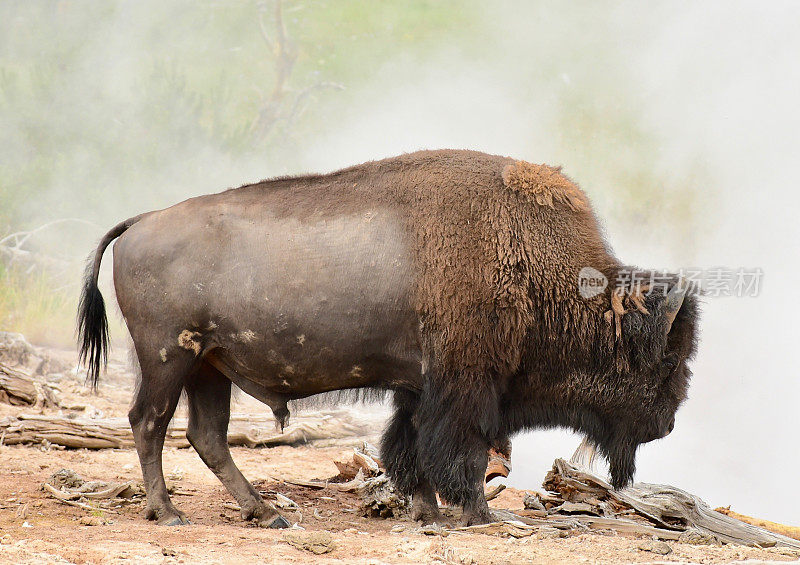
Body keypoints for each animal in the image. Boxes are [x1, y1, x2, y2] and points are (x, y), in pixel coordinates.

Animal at [78, 148, 696, 528]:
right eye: (664, 362)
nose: (668, 424)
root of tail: (140, 223)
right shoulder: (466, 387)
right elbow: (460, 454)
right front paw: (479, 516)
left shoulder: (419, 388)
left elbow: (409, 448)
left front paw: (429, 515)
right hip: (169, 358)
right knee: (149, 422)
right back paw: (167, 511)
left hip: (209, 367)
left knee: (206, 436)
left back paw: (267, 513)